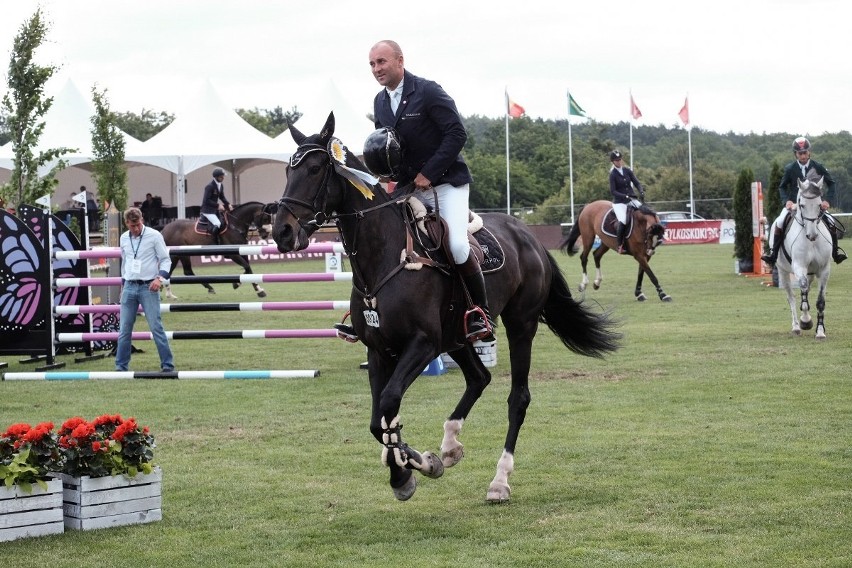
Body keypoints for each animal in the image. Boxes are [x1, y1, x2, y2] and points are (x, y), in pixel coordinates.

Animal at [268, 113, 620, 504]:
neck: (385, 257)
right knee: (479, 378)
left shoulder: (422, 345)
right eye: (288, 170)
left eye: (315, 169)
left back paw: (500, 480)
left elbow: (389, 403)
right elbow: (379, 421)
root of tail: (529, 237)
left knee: (518, 398)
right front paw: (409, 466)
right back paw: (450, 445)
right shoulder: (378, 351)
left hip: (520, 325)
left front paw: (409, 467)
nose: (282, 232)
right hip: (457, 336)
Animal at [772, 178, 832, 338]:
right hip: (783, 271)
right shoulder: (799, 266)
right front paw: (806, 321)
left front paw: (820, 331)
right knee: (791, 297)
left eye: (819, 205)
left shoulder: (824, 270)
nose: (812, 235)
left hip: (810, 272)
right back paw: (796, 326)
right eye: (802, 205)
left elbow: (820, 301)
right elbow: (803, 294)